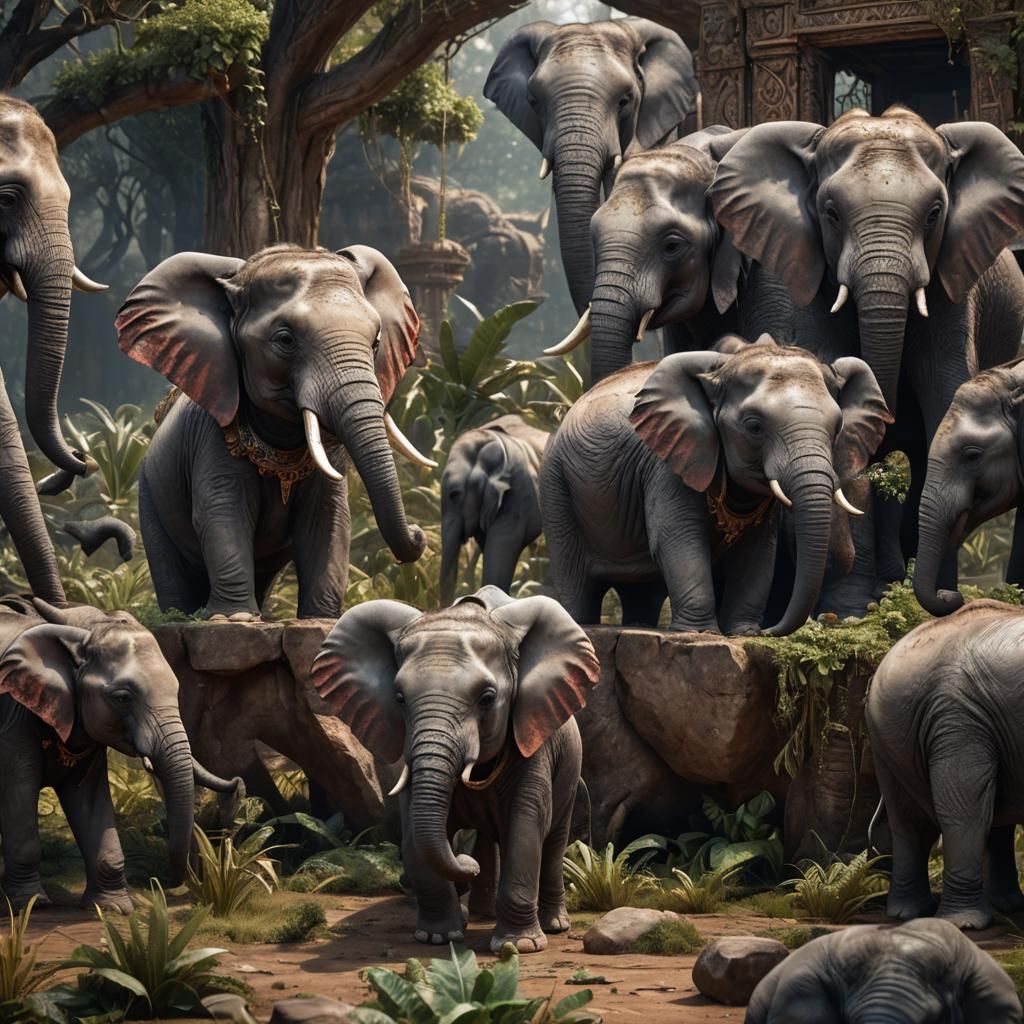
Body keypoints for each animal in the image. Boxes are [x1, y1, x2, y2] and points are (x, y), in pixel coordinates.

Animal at [0, 595, 240, 912]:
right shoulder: (12, 723)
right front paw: (31, 904)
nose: (160, 883)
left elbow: (90, 800)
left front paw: (113, 907)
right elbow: (18, 793)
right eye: (123, 698)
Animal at [115, 244, 431, 620]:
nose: (420, 534)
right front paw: (233, 619)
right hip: (149, 495)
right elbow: (222, 509)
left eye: (376, 340)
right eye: (285, 339)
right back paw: (188, 615)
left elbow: (328, 518)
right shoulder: (210, 436)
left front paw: (319, 620)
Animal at [311, 585, 600, 953]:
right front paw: (437, 937)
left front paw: (518, 947)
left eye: (487, 698)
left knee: (553, 841)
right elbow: (414, 834)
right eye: (399, 698)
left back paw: (553, 925)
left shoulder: (533, 742)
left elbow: (526, 827)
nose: (466, 865)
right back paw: (478, 913)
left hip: (570, 764)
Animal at [539, 336, 890, 636]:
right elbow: (677, 534)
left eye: (837, 428)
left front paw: (743, 634)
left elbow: (759, 548)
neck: (723, 369)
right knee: (576, 580)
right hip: (556, 486)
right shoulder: (667, 461)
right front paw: (701, 634)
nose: (769, 630)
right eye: (754, 426)